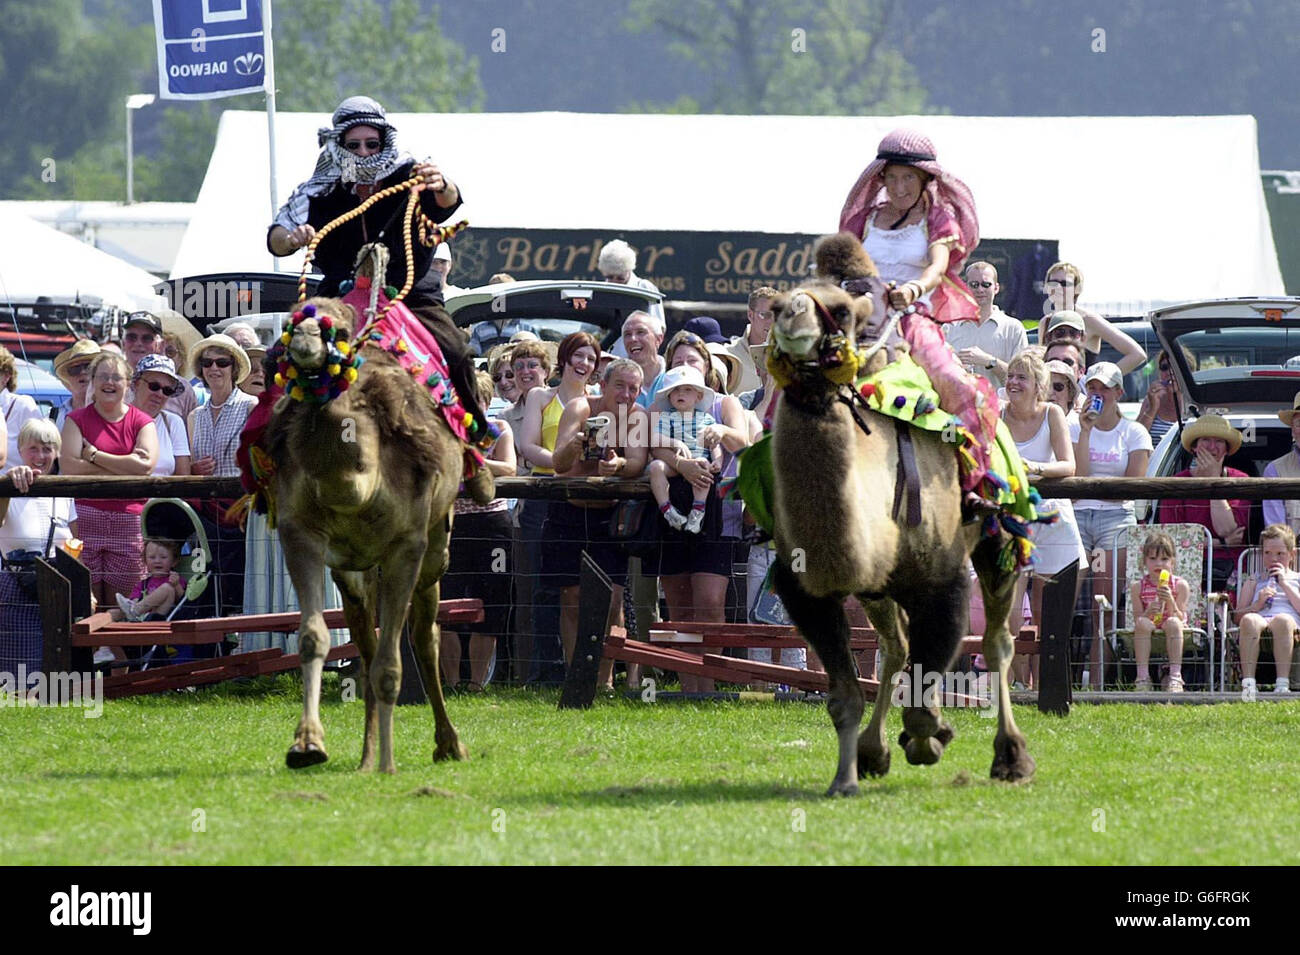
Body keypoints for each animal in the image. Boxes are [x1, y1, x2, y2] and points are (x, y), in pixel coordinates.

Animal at [266, 287, 470, 774]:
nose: (305, 339)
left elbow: (392, 666)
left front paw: (390, 767)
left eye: (335, 330)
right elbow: (313, 638)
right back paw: (365, 756)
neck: (357, 480)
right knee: (366, 642)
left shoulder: (406, 546)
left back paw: (447, 744)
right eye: (292, 321)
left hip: (434, 550)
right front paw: (307, 745)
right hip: (355, 570)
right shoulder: (300, 534)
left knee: (424, 636)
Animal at [759, 250, 1034, 795]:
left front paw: (931, 739)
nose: (792, 319)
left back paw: (1010, 758)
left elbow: (927, 694)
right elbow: (845, 695)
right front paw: (846, 778)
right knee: (895, 647)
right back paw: (873, 751)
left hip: (999, 541)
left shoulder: (945, 582)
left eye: (842, 310)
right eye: (776, 304)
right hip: (877, 588)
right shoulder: (807, 591)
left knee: (997, 643)